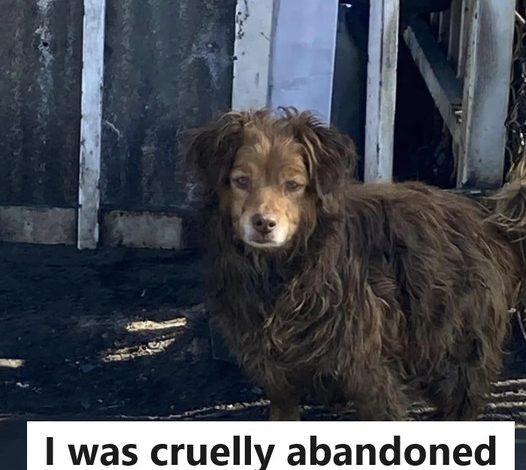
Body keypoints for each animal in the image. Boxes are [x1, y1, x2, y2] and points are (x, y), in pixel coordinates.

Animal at [187, 108, 526, 420]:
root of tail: (487, 222)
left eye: (293, 185)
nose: (263, 224)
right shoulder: (275, 375)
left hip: (459, 346)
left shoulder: (368, 371)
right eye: (241, 181)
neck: (282, 271)